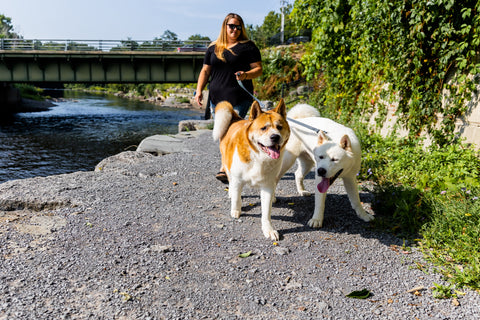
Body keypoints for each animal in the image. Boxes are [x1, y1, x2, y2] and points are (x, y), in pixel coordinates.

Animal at [213, 100, 288, 240]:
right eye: (264, 128)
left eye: (279, 127)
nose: (275, 137)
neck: (258, 157)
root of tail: (236, 118)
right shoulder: (237, 179)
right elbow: (237, 198)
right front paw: (236, 210)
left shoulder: (267, 186)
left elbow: (266, 212)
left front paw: (268, 229)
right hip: (227, 164)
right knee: (230, 180)